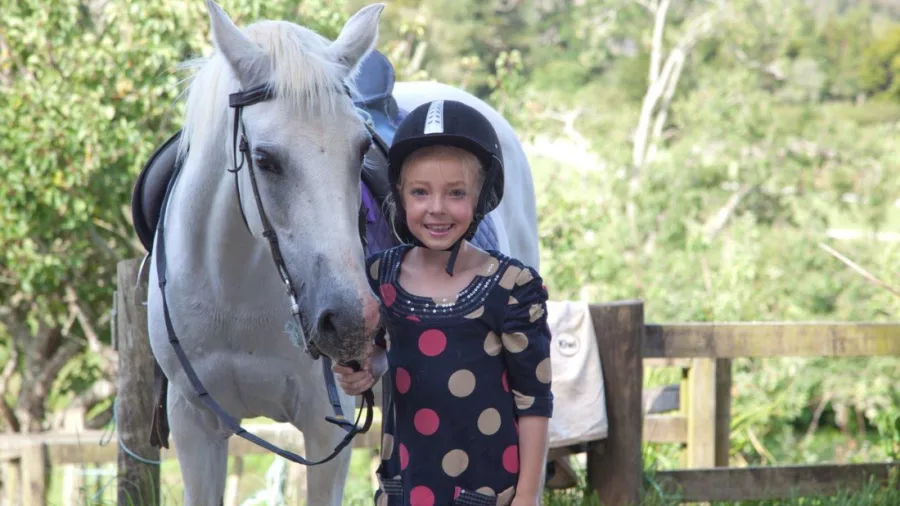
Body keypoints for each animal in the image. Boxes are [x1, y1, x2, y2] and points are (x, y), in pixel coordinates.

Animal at [144, 1, 540, 505]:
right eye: (265, 160)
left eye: (361, 148)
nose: (352, 321)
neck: (232, 295)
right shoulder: (195, 426)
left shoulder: (326, 429)